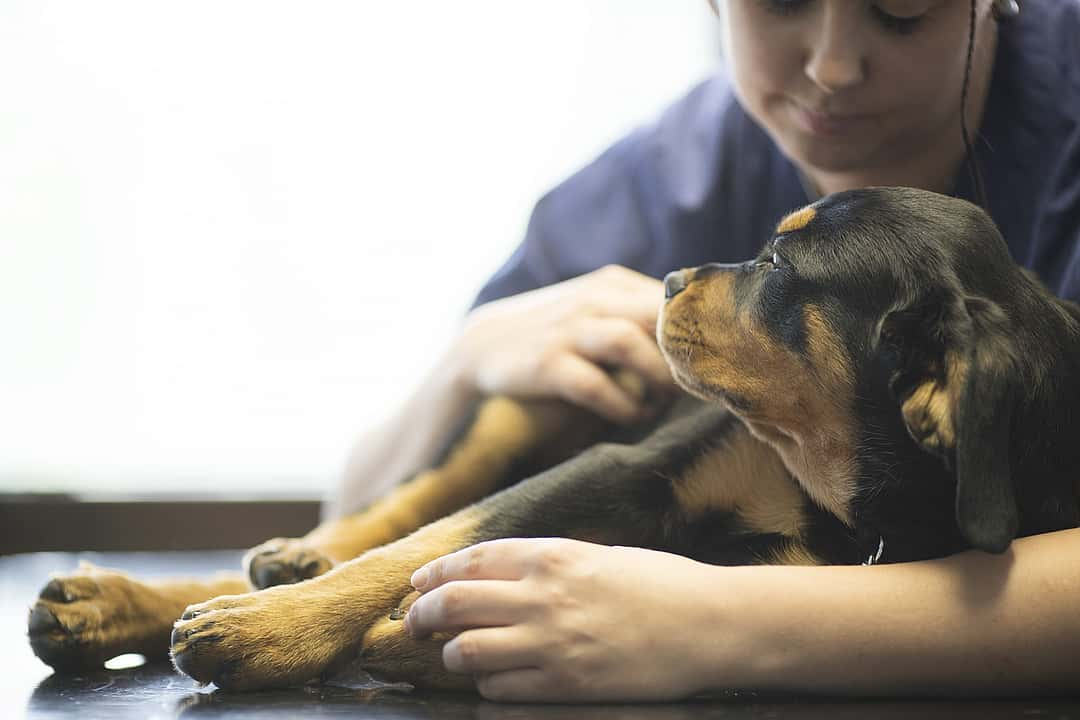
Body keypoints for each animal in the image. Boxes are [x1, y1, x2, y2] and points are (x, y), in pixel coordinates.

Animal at [29, 187, 1075, 690]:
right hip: (530, 398)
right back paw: (196, 585)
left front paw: (401, 640)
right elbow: (419, 547)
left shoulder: (788, 563)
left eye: (781, 265)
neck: (836, 484)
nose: (668, 279)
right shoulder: (623, 465)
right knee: (400, 511)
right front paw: (271, 633)